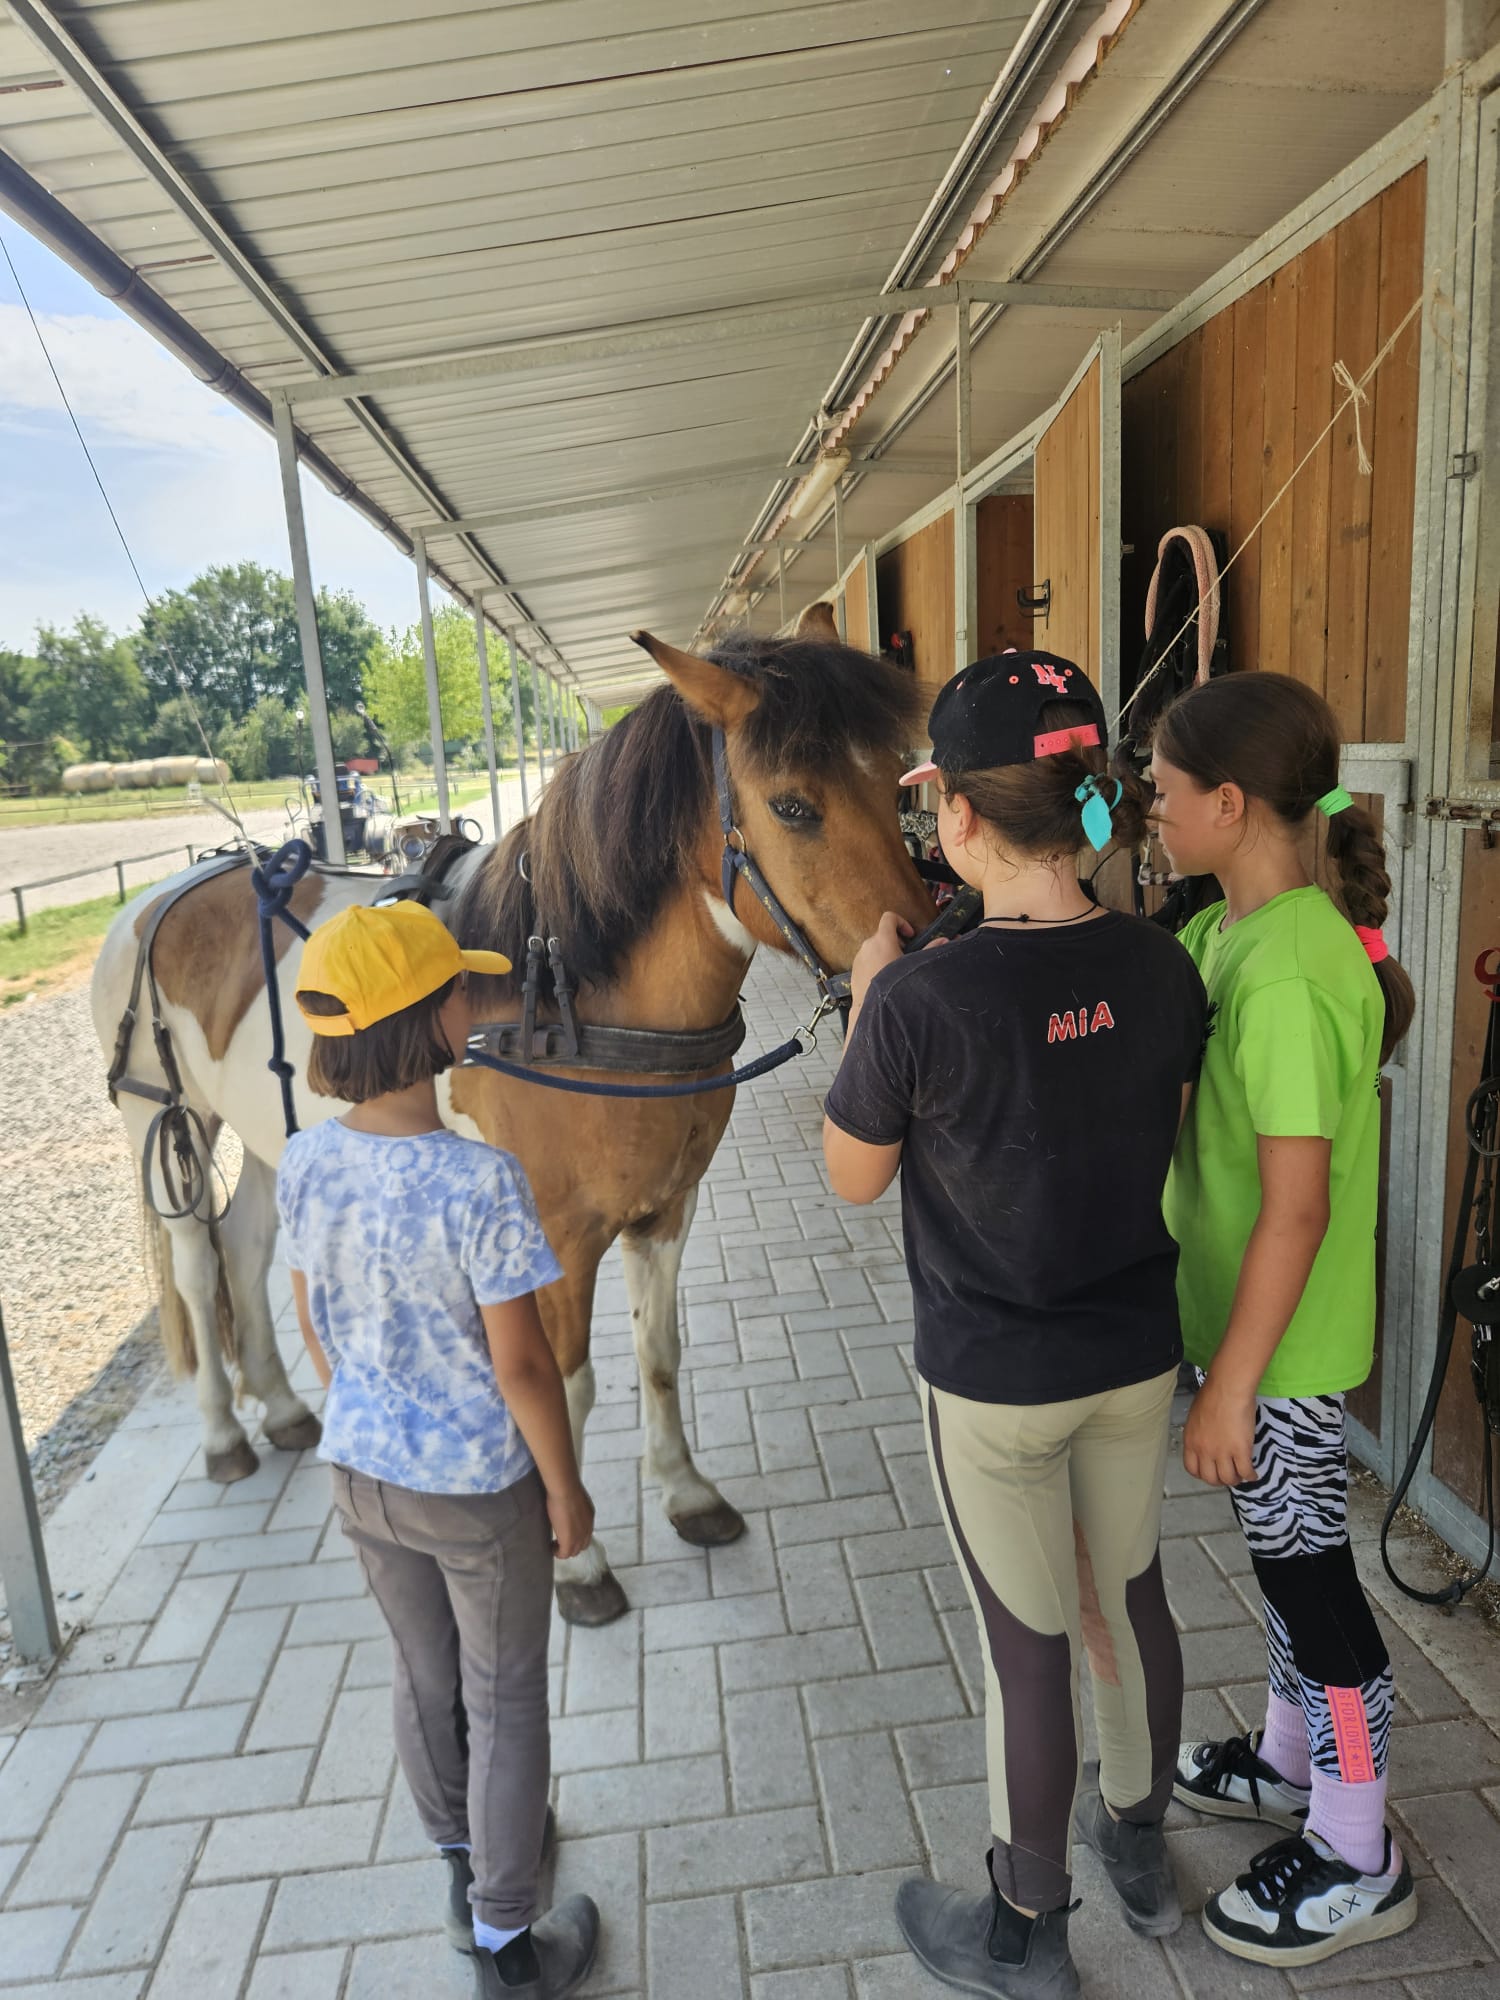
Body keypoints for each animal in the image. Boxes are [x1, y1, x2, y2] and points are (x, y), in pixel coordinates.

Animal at [90, 607, 934, 1625]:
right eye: (794, 807)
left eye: (897, 780)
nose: (928, 951)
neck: (565, 994)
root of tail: (164, 895)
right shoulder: (556, 1241)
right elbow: (568, 1387)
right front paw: (577, 1564)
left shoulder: (666, 1212)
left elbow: (658, 1353)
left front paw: (685, 1491)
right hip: (163, 1120)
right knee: (193, 1261)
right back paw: (223, 1431)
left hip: (266, 1131)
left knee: (247, 1247)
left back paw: (286, 1409)